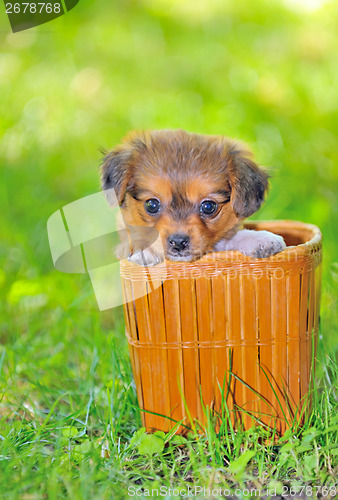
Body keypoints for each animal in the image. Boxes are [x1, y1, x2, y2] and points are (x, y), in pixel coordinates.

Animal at [99, 130, 286, 266]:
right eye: (152, 205)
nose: (178, 242)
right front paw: (145, 250)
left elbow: (232, 238)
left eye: (208, 206)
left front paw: (260, 238)